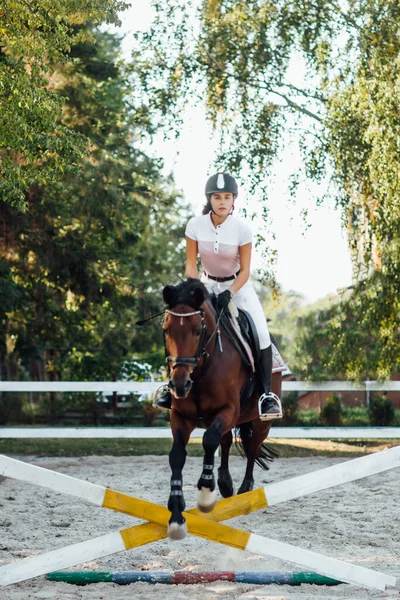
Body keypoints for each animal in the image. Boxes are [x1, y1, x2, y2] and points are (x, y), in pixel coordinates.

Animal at [161, 280, 280, 540]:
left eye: (198, 330)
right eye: (166, 330)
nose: (179, 385)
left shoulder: (229, 410)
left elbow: (208, 440)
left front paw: (206, 494)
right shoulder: (180, 417)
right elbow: (177, 455)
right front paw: (176, 515)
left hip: (261, 421)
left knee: (251, 447)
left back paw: (245, 490)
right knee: (225, 442)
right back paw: (225, 483)